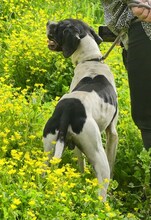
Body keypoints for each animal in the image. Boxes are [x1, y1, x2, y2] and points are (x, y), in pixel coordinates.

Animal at [42, 18, 118, 201]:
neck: (91, 61)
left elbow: (80, 164)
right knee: (102, 193)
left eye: (59, 25)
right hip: (98, 155)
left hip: (47, 151)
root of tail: (67, 110)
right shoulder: (112, 132)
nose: (48, 22)